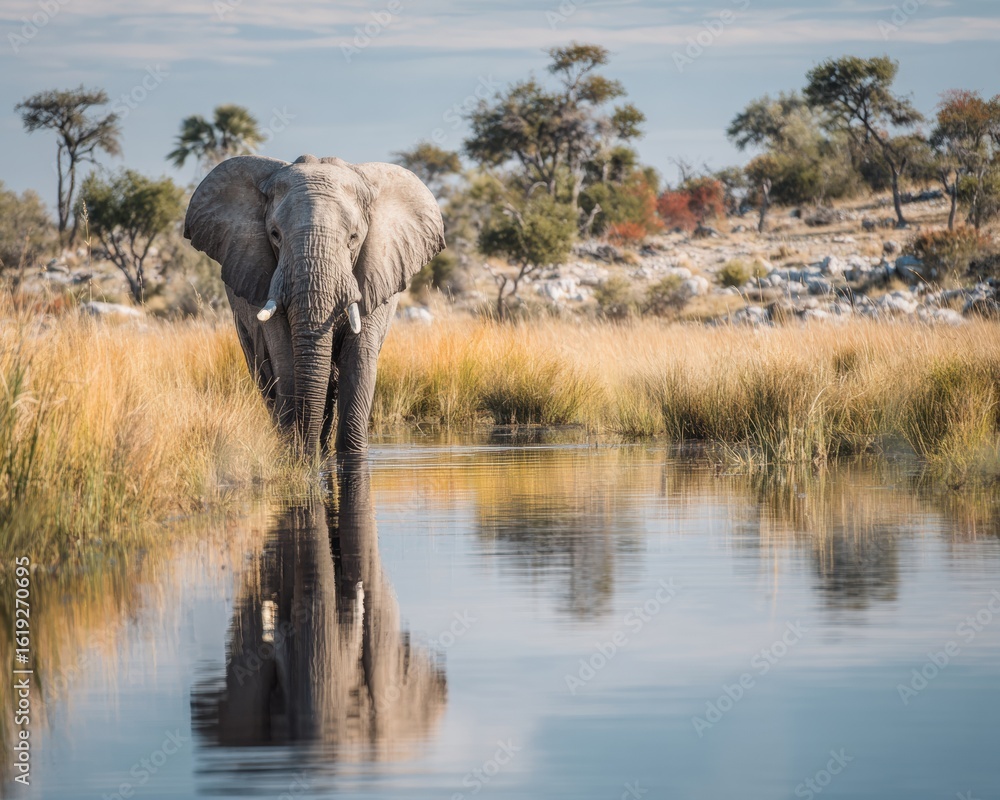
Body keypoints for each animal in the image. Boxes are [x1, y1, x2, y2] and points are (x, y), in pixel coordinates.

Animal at [184, 154, 445, 454]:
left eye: (354, 238)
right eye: (275, 234)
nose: (306, 452)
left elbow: (359, 357)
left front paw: (348, 453)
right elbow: (285, 358)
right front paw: (297, 455)